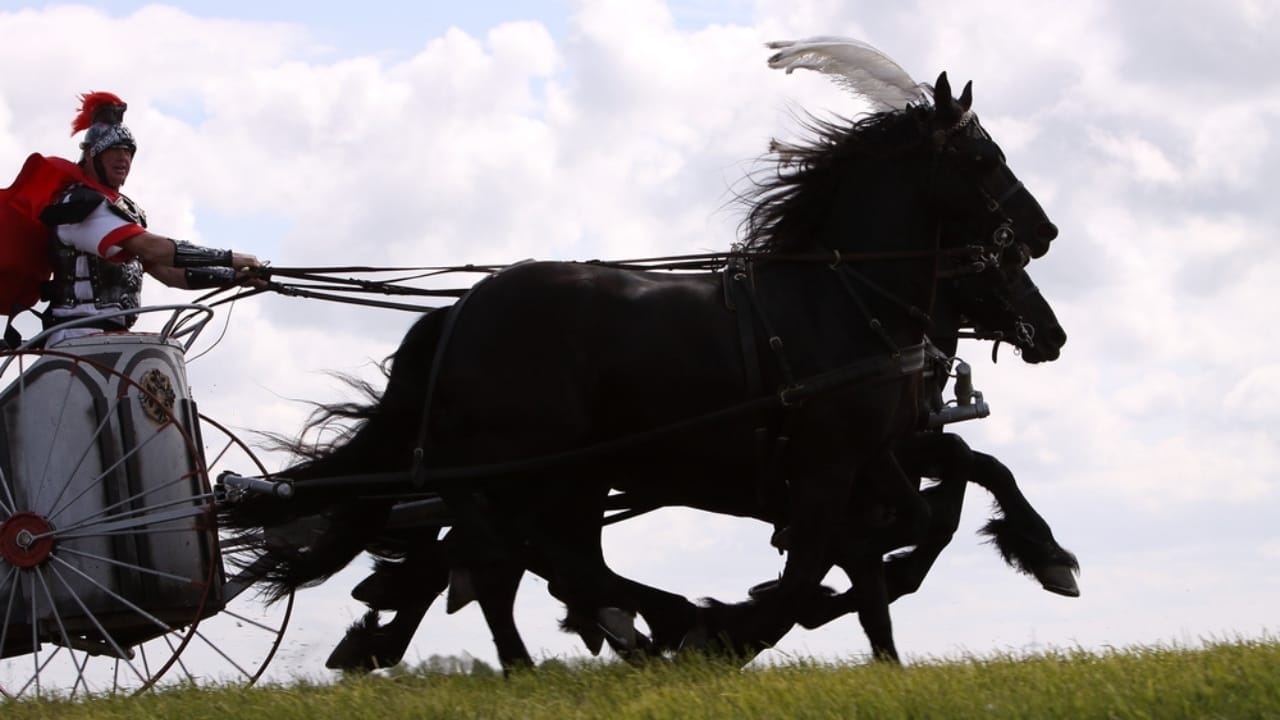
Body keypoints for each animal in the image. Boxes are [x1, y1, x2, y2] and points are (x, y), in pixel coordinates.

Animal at [221, 72, 1061, 669]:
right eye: (985, 159)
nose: (1042, 235)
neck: (842, 299)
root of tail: (458, 312)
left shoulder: (879, 454)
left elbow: (945, 496)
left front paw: (1045, 553)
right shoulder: (830, 468)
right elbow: (826, 562)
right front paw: (734, 628)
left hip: (560, 473)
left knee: (509, 556)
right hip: (532, 465)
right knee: (512, 552)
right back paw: (652, 620)